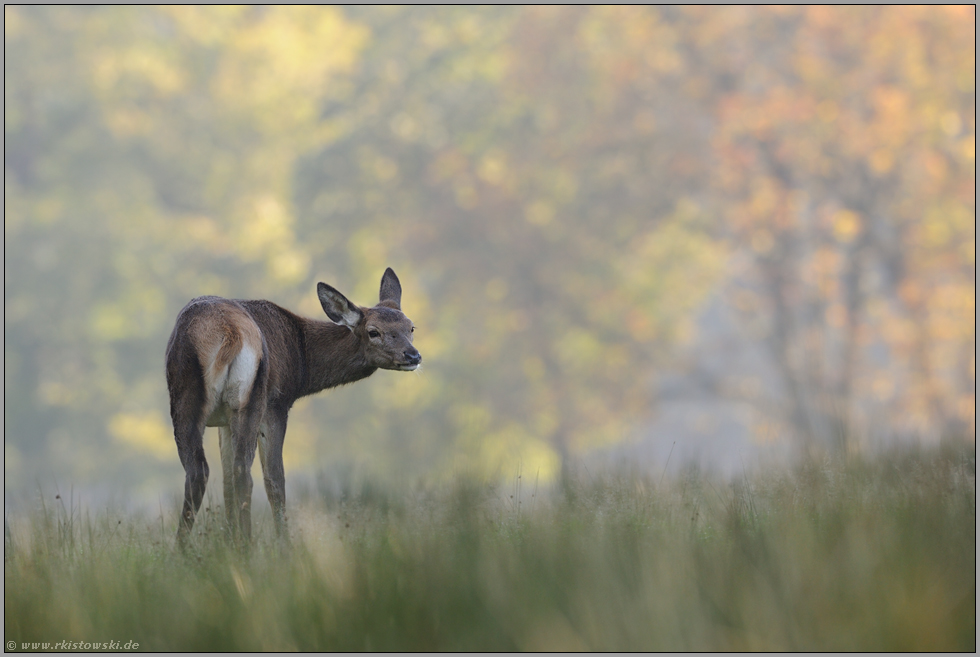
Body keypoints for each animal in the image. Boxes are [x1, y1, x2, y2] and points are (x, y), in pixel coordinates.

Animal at [165, 264, 418, 544]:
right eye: (373, 331)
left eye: (411, 327)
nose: (413, 355)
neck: (302, 364)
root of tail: (229, 334)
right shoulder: (278, 402)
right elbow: (275, 480)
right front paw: (283, 547)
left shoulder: (225, 421)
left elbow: (227, 480)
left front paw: (230, 541)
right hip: (251, 397)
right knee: (244, 473)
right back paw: (244, 546)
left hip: (200, 398)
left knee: (207, 470)